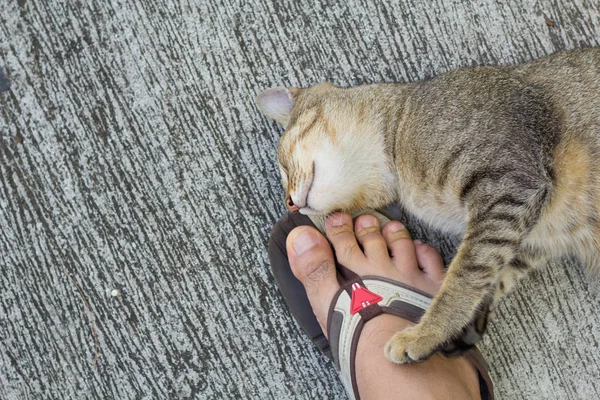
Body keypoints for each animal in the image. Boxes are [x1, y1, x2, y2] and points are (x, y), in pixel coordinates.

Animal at [256, 46, 600, 362]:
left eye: (283, 165)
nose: (290, 204)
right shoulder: (528, 233)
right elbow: (492, 274)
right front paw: (459, 329)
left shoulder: (509, 186)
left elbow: (463, 278)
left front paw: (425, 332)